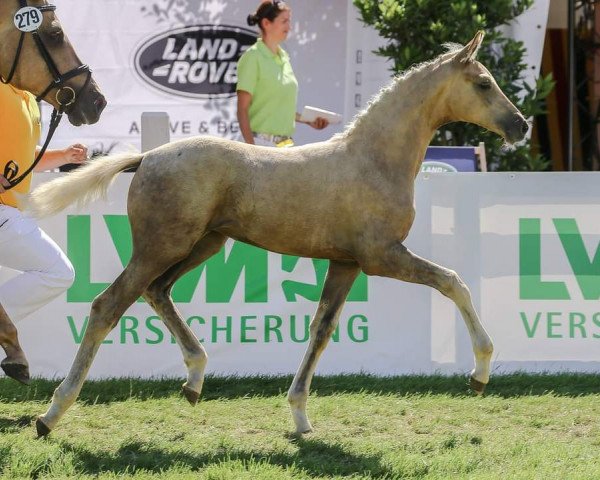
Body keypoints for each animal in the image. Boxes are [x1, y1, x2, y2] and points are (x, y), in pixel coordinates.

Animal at [28, 30, 524, 436]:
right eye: (483, 83)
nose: (521, 126)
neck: (373, 160)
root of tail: (147, 156)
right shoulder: (382, 255)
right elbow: (453, 282)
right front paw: (480, 373)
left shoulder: (346, 262)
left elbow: (322, 328)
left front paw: (300, 417)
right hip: (161, 246)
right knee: (107, 305)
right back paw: (51, 414)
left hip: (202, 244)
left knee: (157, 292)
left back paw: (194, 379)